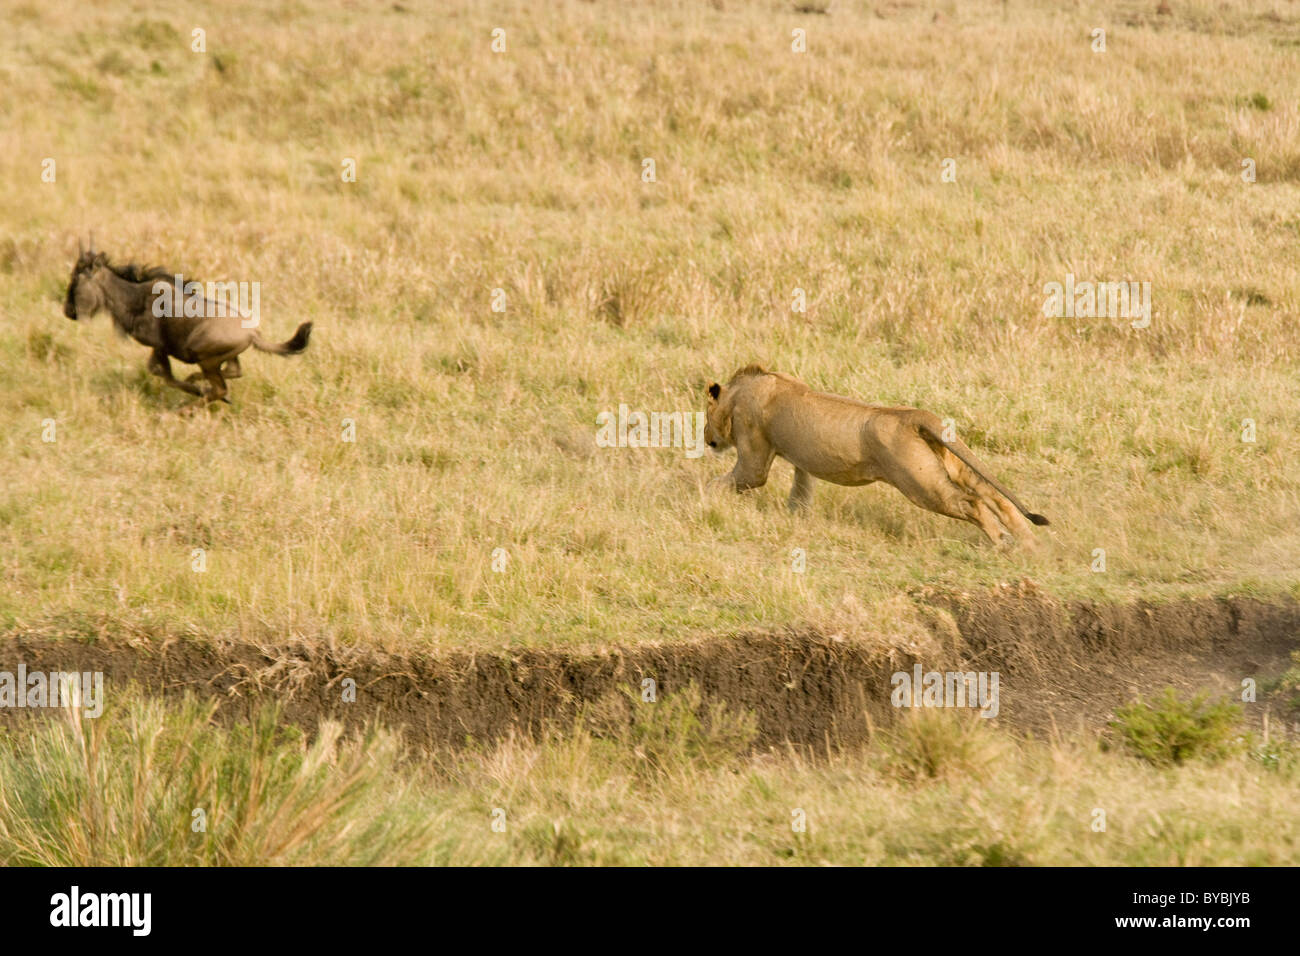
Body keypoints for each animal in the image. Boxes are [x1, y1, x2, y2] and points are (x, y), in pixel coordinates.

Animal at [703, 365, 1049, 547]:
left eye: (705, 417)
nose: (707, 440)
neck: (739, 395)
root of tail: (913, 416)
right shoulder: (803, 464)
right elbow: (800, 493)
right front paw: (797, 518)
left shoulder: (754, 457)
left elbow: (732, 480)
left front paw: (705, 499)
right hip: (949, 466)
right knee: (994, 495)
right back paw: (1031, 545)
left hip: (920, 484)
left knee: (971, 502)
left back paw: (1003, 542)